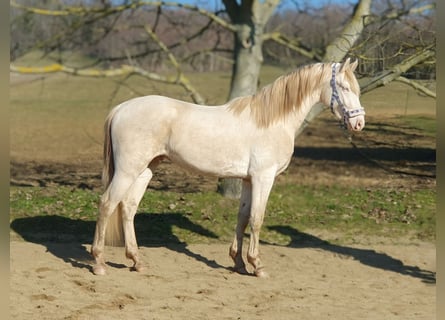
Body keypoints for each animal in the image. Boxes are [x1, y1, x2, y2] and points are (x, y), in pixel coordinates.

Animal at [90, 58, 364, 278]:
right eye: (344, 87)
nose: (359, 123)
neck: (272, 120)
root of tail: (121, 108)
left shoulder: (248, 180)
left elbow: (242, 218)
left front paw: (239, 263)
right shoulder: (263, 178)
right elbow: (256, 219)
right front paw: (258, 266)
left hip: (145, 169)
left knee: (128, 208)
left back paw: (137, 261)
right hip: (127, 170)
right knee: (107, 204)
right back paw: (99, 262)